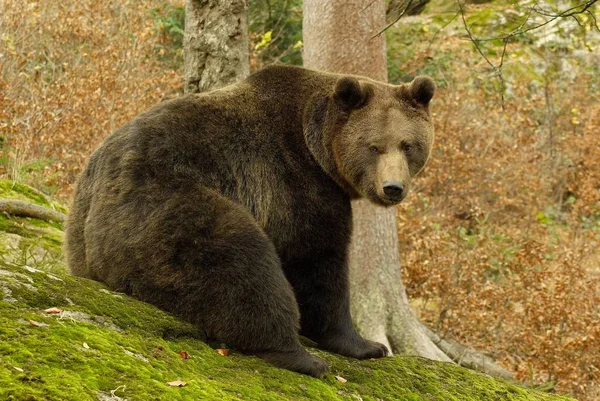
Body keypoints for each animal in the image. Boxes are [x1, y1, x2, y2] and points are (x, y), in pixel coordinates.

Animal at [64, 64, 436, 376]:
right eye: (374, 146)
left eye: (408, 145)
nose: (392, 188)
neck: (316, 147)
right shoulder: (297, 183)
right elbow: (317, 263)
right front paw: (365, 345)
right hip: (160, 209)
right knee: (241, 259)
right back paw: (301, 357)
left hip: (82, 230)